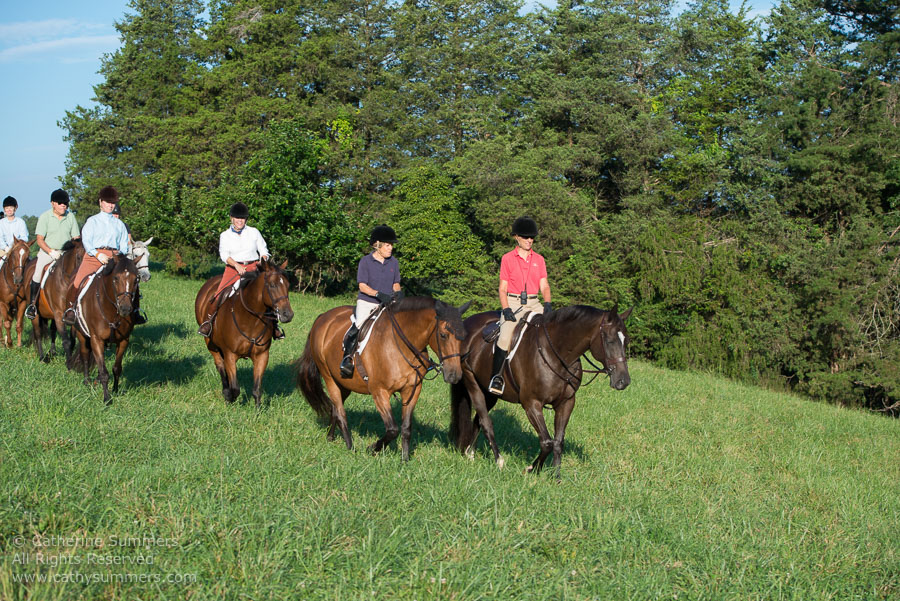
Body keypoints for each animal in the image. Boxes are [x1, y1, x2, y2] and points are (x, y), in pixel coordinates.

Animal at [65, 254, 141, 404]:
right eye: (115, 278)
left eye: (136, 279)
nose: (125, 308)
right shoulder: (96, 339)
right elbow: (103, 371)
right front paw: (107, 398)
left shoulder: (124, 340)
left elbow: (117, 368)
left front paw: (115, 390)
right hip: (82, 334)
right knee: (85, 355)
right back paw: (87, 381)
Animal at [194, 258, 296, 408]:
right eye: (272, 285)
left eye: (288, 285)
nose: (287, 315)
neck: (250, 320)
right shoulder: (230, 355)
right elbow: (235, 389)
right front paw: (229, 398)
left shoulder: (262, 356)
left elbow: (257, 389)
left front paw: (258, 410)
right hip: (210, 344)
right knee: (220, 367)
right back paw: (226, 392)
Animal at [298, 298, 474, 462]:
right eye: (443, 335)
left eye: (464, 337)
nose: (454, 375)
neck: (402, 347)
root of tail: (323, 317)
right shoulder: (379, 392)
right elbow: (392, 429)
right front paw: (372, 449)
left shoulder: (412, 390)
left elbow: (406, 427)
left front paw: (405, 459)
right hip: (329, 378)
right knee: (341, 412)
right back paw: (350, 447)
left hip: (344, 384)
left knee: (335, 408)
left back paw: (330, 437)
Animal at [450, 304, 632, 478]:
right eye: (610, 341)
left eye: (626, 341)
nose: (623, 381)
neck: (557, 354)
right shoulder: (532, 404)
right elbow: (546, 442)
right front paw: (532, 469)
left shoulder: (566, 403)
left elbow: (558, 442)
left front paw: (556, 476)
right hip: (473, 384)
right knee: (486, 423)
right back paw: (498, 460)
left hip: (489, 393)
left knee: (478, 420)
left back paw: (470, 453)